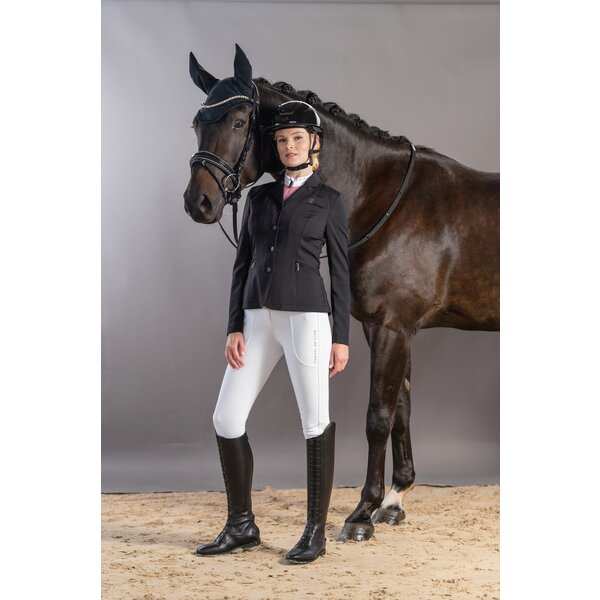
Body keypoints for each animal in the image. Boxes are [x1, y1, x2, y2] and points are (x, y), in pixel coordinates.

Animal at [184, 45, 499, 542]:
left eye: (238, 122)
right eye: (198, 121)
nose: (198, 202)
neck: (387, 202)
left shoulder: (392, 327)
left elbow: (377, 417)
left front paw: (362, 512)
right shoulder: (389, 329)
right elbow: (402, 408)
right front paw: (395, 500)